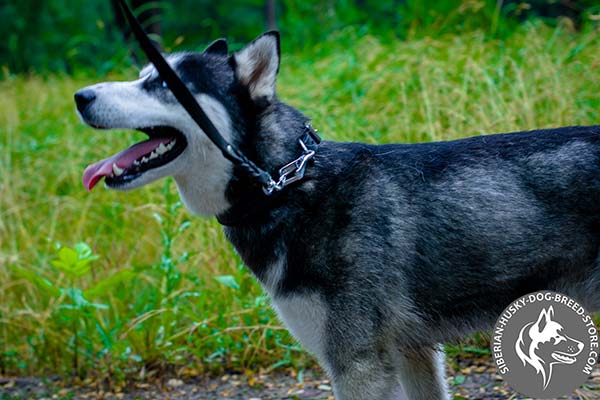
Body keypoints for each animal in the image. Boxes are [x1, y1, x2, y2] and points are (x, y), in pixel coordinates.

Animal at [76, 32, 600, 400]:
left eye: (161, 83)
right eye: (141, 74)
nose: (80, 96)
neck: (286, 184)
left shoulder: (358, 364)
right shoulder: (412, 353)